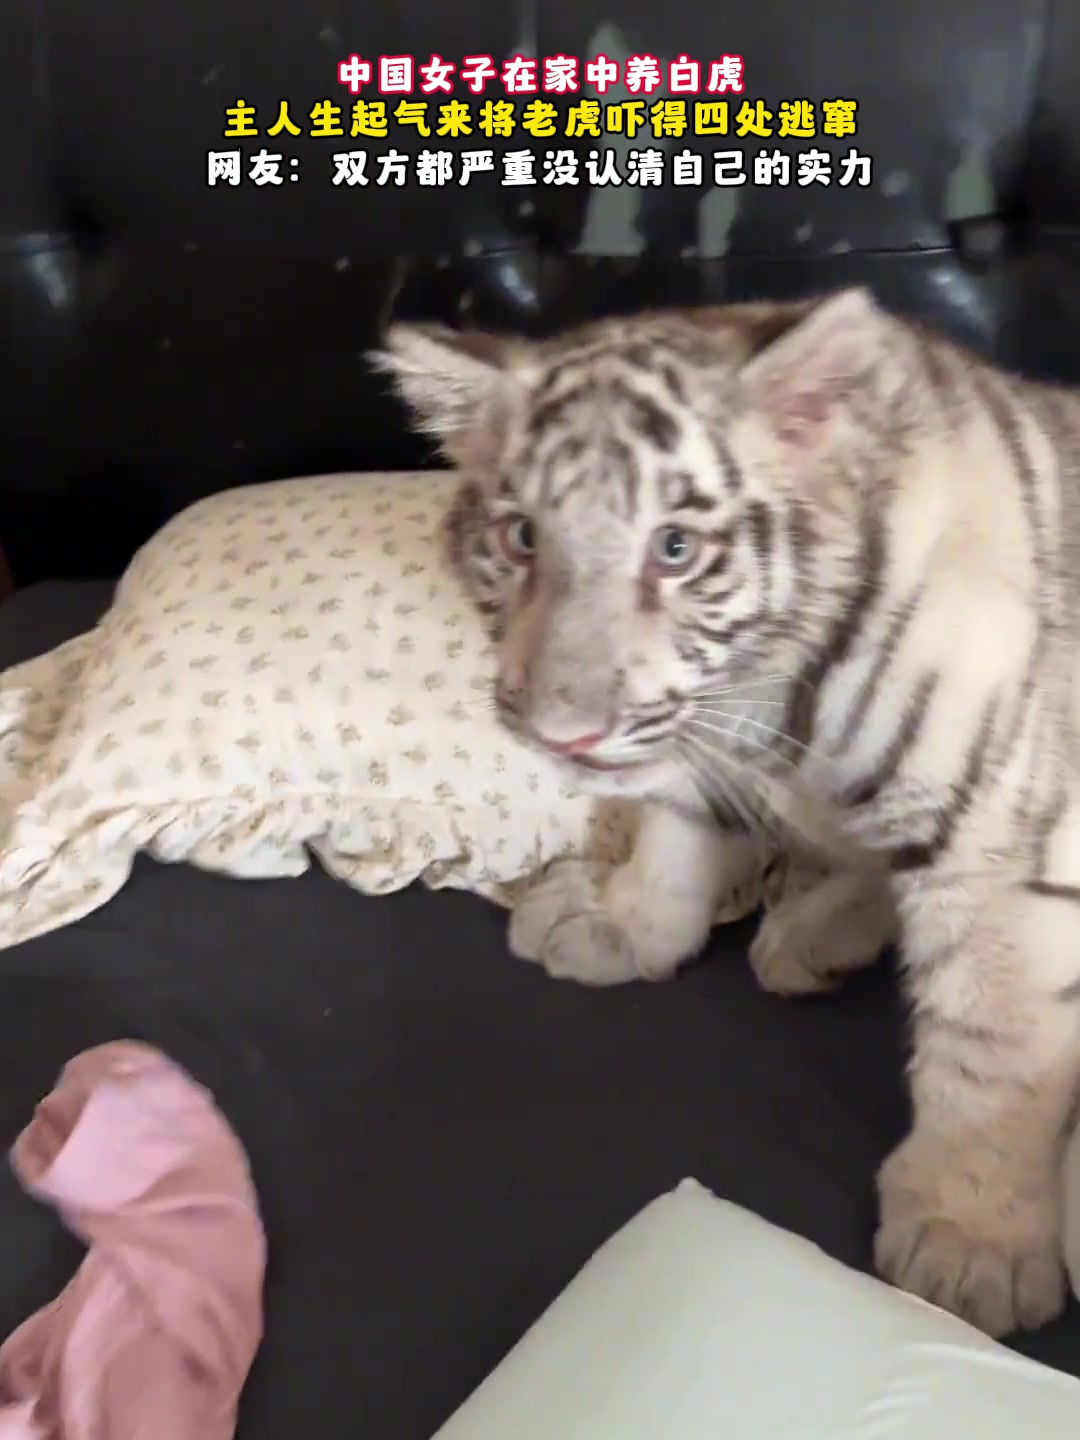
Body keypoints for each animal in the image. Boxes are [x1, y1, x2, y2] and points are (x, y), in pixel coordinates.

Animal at [372, 285, 1080, 1340]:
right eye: (523, 537)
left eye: (676, 549)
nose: (566, 733)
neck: (768, 688)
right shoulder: (694, 746)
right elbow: (673, 836)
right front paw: (621, 924)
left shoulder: (998, 831)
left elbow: (993, 1038)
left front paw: (968, 1244)